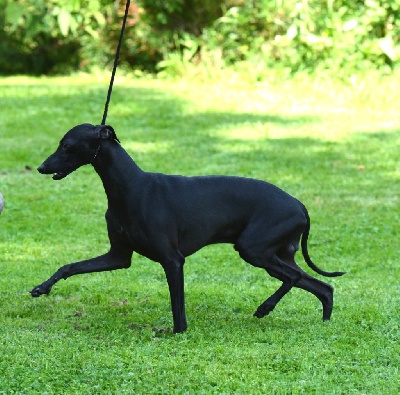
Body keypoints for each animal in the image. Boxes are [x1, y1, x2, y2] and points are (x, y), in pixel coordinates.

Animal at [30, 124, 344, 334]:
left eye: (68, 145)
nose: (41, 167)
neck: (130, 186)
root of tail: (300, 205)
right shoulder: (117, 257)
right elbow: (69, 267)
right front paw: (42, 288)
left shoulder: (173, 260)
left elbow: (177, 306)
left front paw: (178, 333)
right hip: (274, 254)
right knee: (322, 287)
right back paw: (324, 323)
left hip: (254, 250)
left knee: (294, 277)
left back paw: (265, 308)